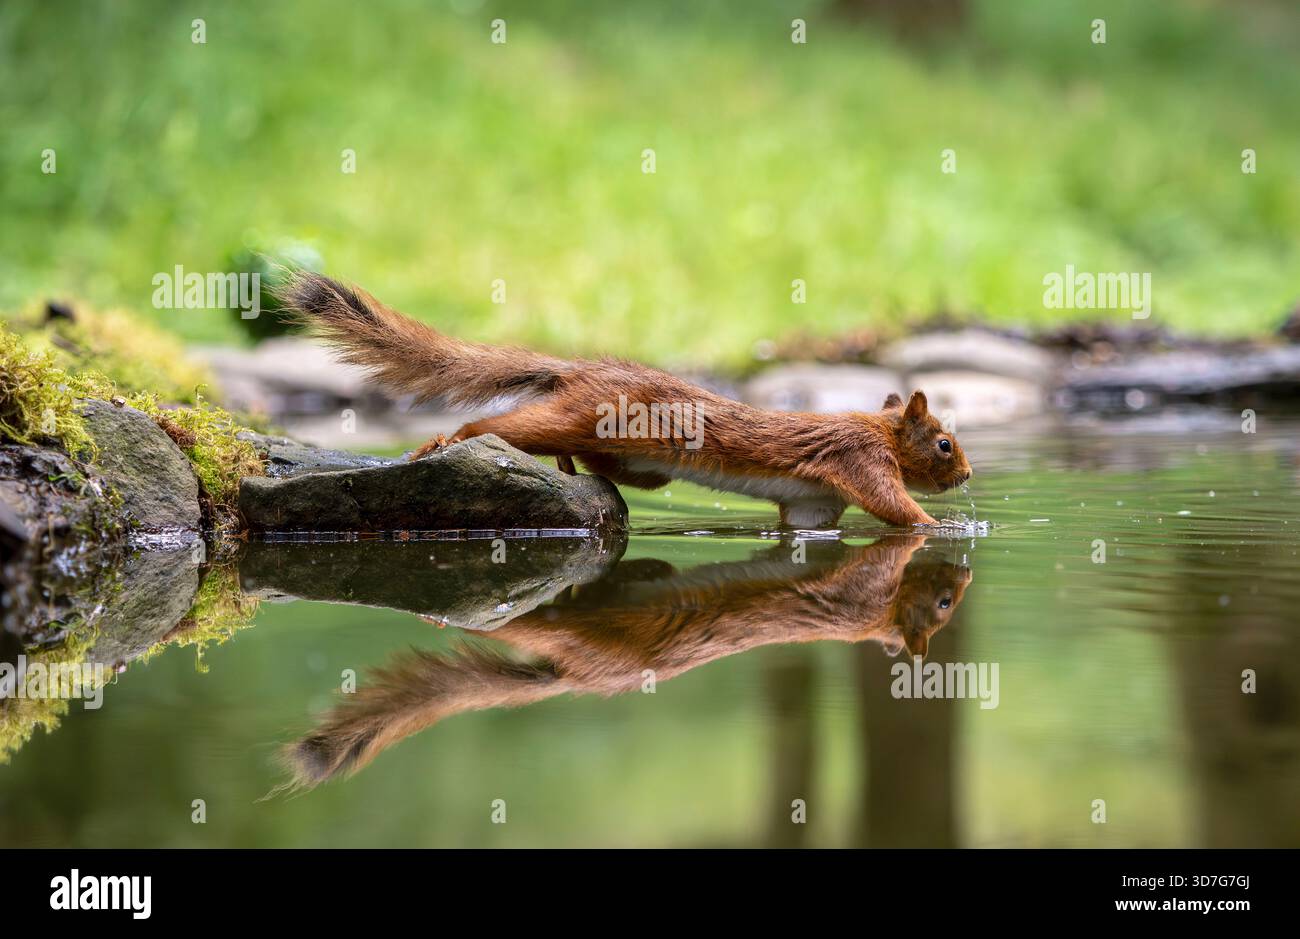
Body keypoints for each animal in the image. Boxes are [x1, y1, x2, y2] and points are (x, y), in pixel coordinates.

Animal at [282, 273, 973, 527]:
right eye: (944, 443)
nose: (968, 476)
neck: (877, 429)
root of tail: (581, 369)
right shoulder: (859, 461)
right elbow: (893, 506)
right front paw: (942, 526)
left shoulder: (813, 504)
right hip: (574, 417)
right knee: (498, 426)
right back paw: (444, 441)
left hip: (635, 465)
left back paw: (566, 469)